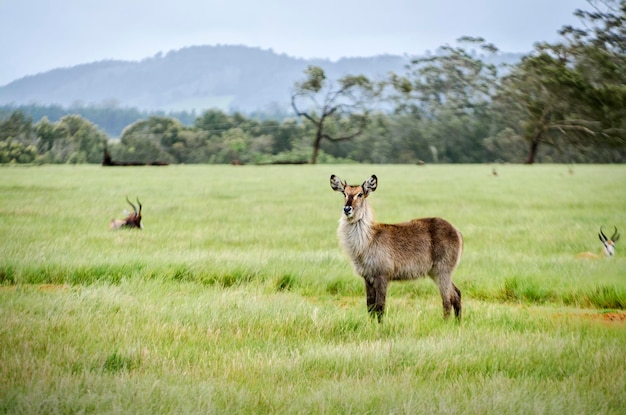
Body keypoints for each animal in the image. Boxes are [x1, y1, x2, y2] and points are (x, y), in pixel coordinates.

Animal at [330, 174, 460, 324]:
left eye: (360, 194)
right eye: (344, 193)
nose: (347, 209)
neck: (368, 240)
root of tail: (456, 231)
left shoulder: (382, 275)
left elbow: (380, 306)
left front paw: (380, 326)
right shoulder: (367, 277)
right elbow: (370, 306)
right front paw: (371, 325)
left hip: (442, 270)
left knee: (447, 299)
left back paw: (445, 323)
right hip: (436, 272)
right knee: (456, 293)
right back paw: (458, 323)